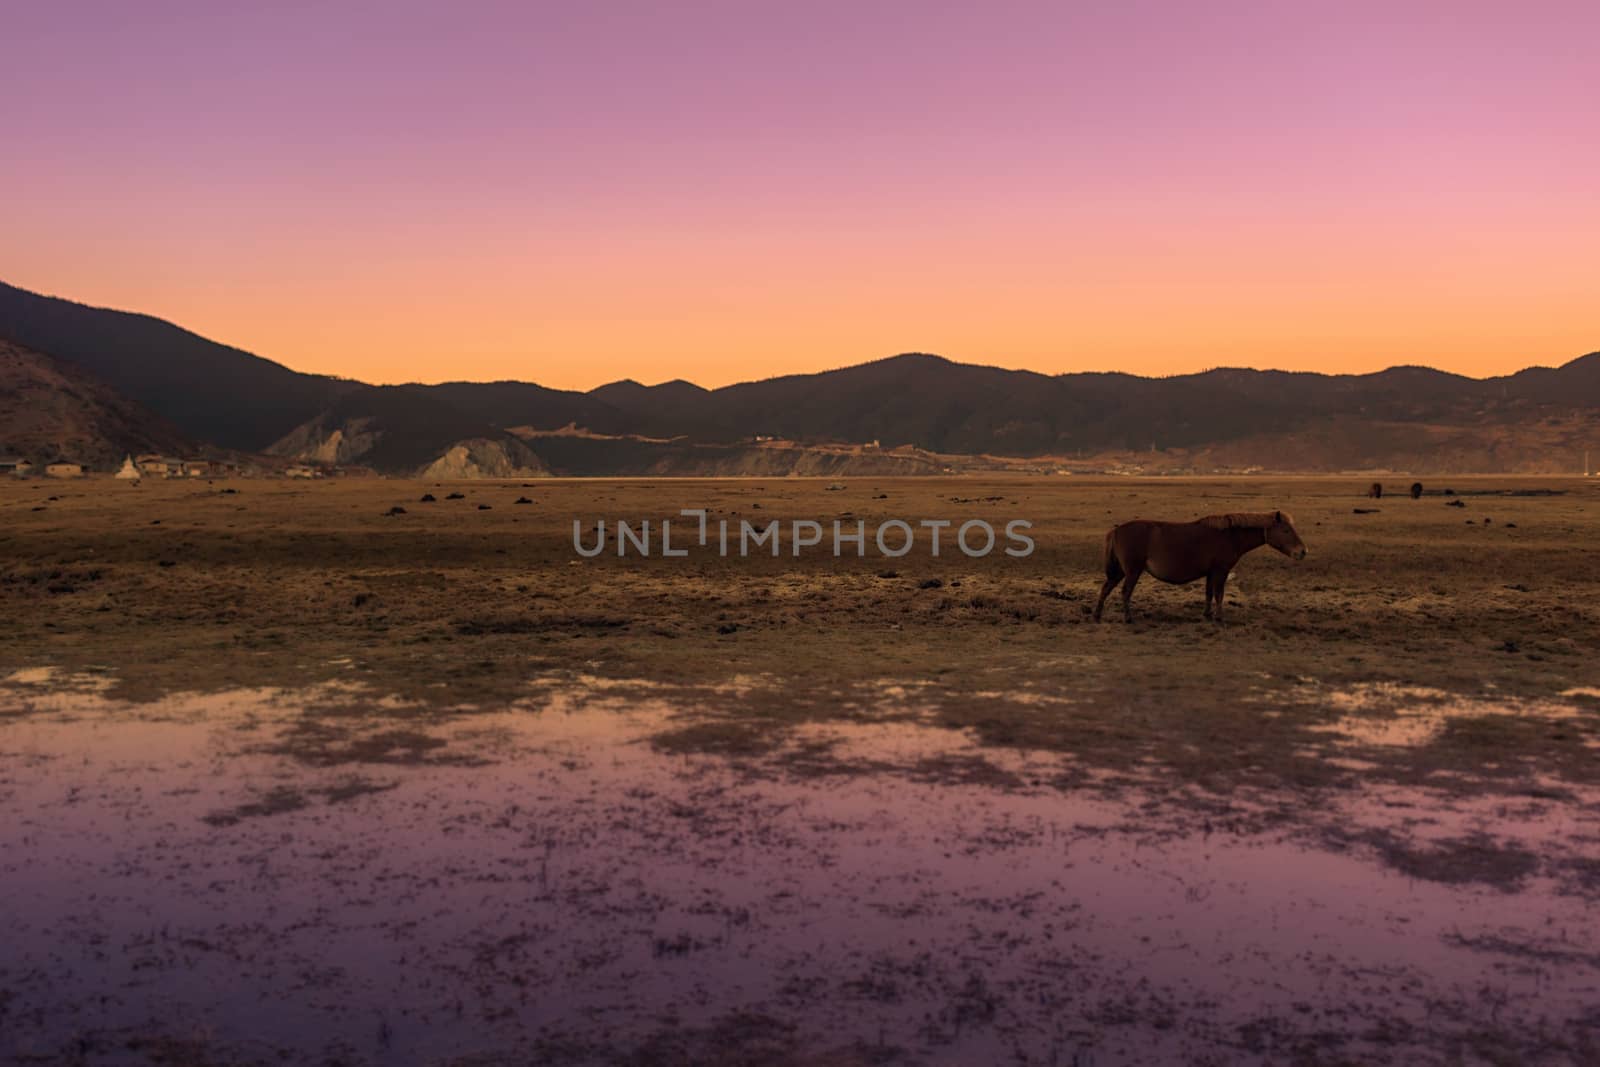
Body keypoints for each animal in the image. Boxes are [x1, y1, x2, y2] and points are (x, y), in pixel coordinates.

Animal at [1094, 511, 1305, 627]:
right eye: (1286, 530)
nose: (1303, 551)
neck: (1230, 536)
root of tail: (1116, 530)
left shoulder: (1211, 573)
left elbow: (1209, 594)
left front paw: (1207, 615)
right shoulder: (1220, 571)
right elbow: (1219, 594)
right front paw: (1219, 618)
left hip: (1120, 572)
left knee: (1106, 589)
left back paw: (1097, 616)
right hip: (1132, 571)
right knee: (1125, 592)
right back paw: (1128, 618)